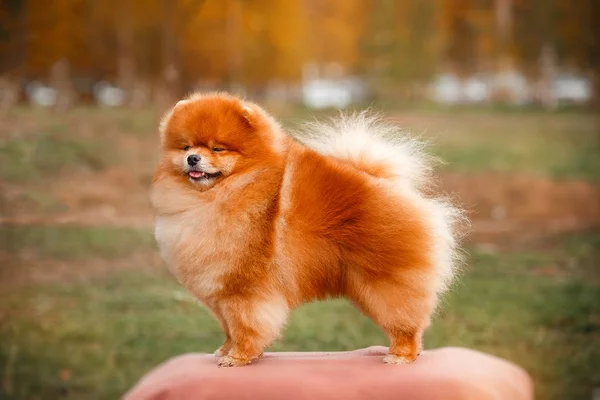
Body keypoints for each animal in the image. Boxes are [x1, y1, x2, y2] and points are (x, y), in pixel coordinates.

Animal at [151, 92, 464, 368]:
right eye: (185, 147)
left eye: (217, 148)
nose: (193, 159)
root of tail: (382, 183)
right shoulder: (220, 293)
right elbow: (228, 327)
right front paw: (225, 350)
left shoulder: (245, 290)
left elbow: (245, 326)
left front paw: (238, 357)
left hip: (384, 284)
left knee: (405, 321)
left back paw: (401, 355)